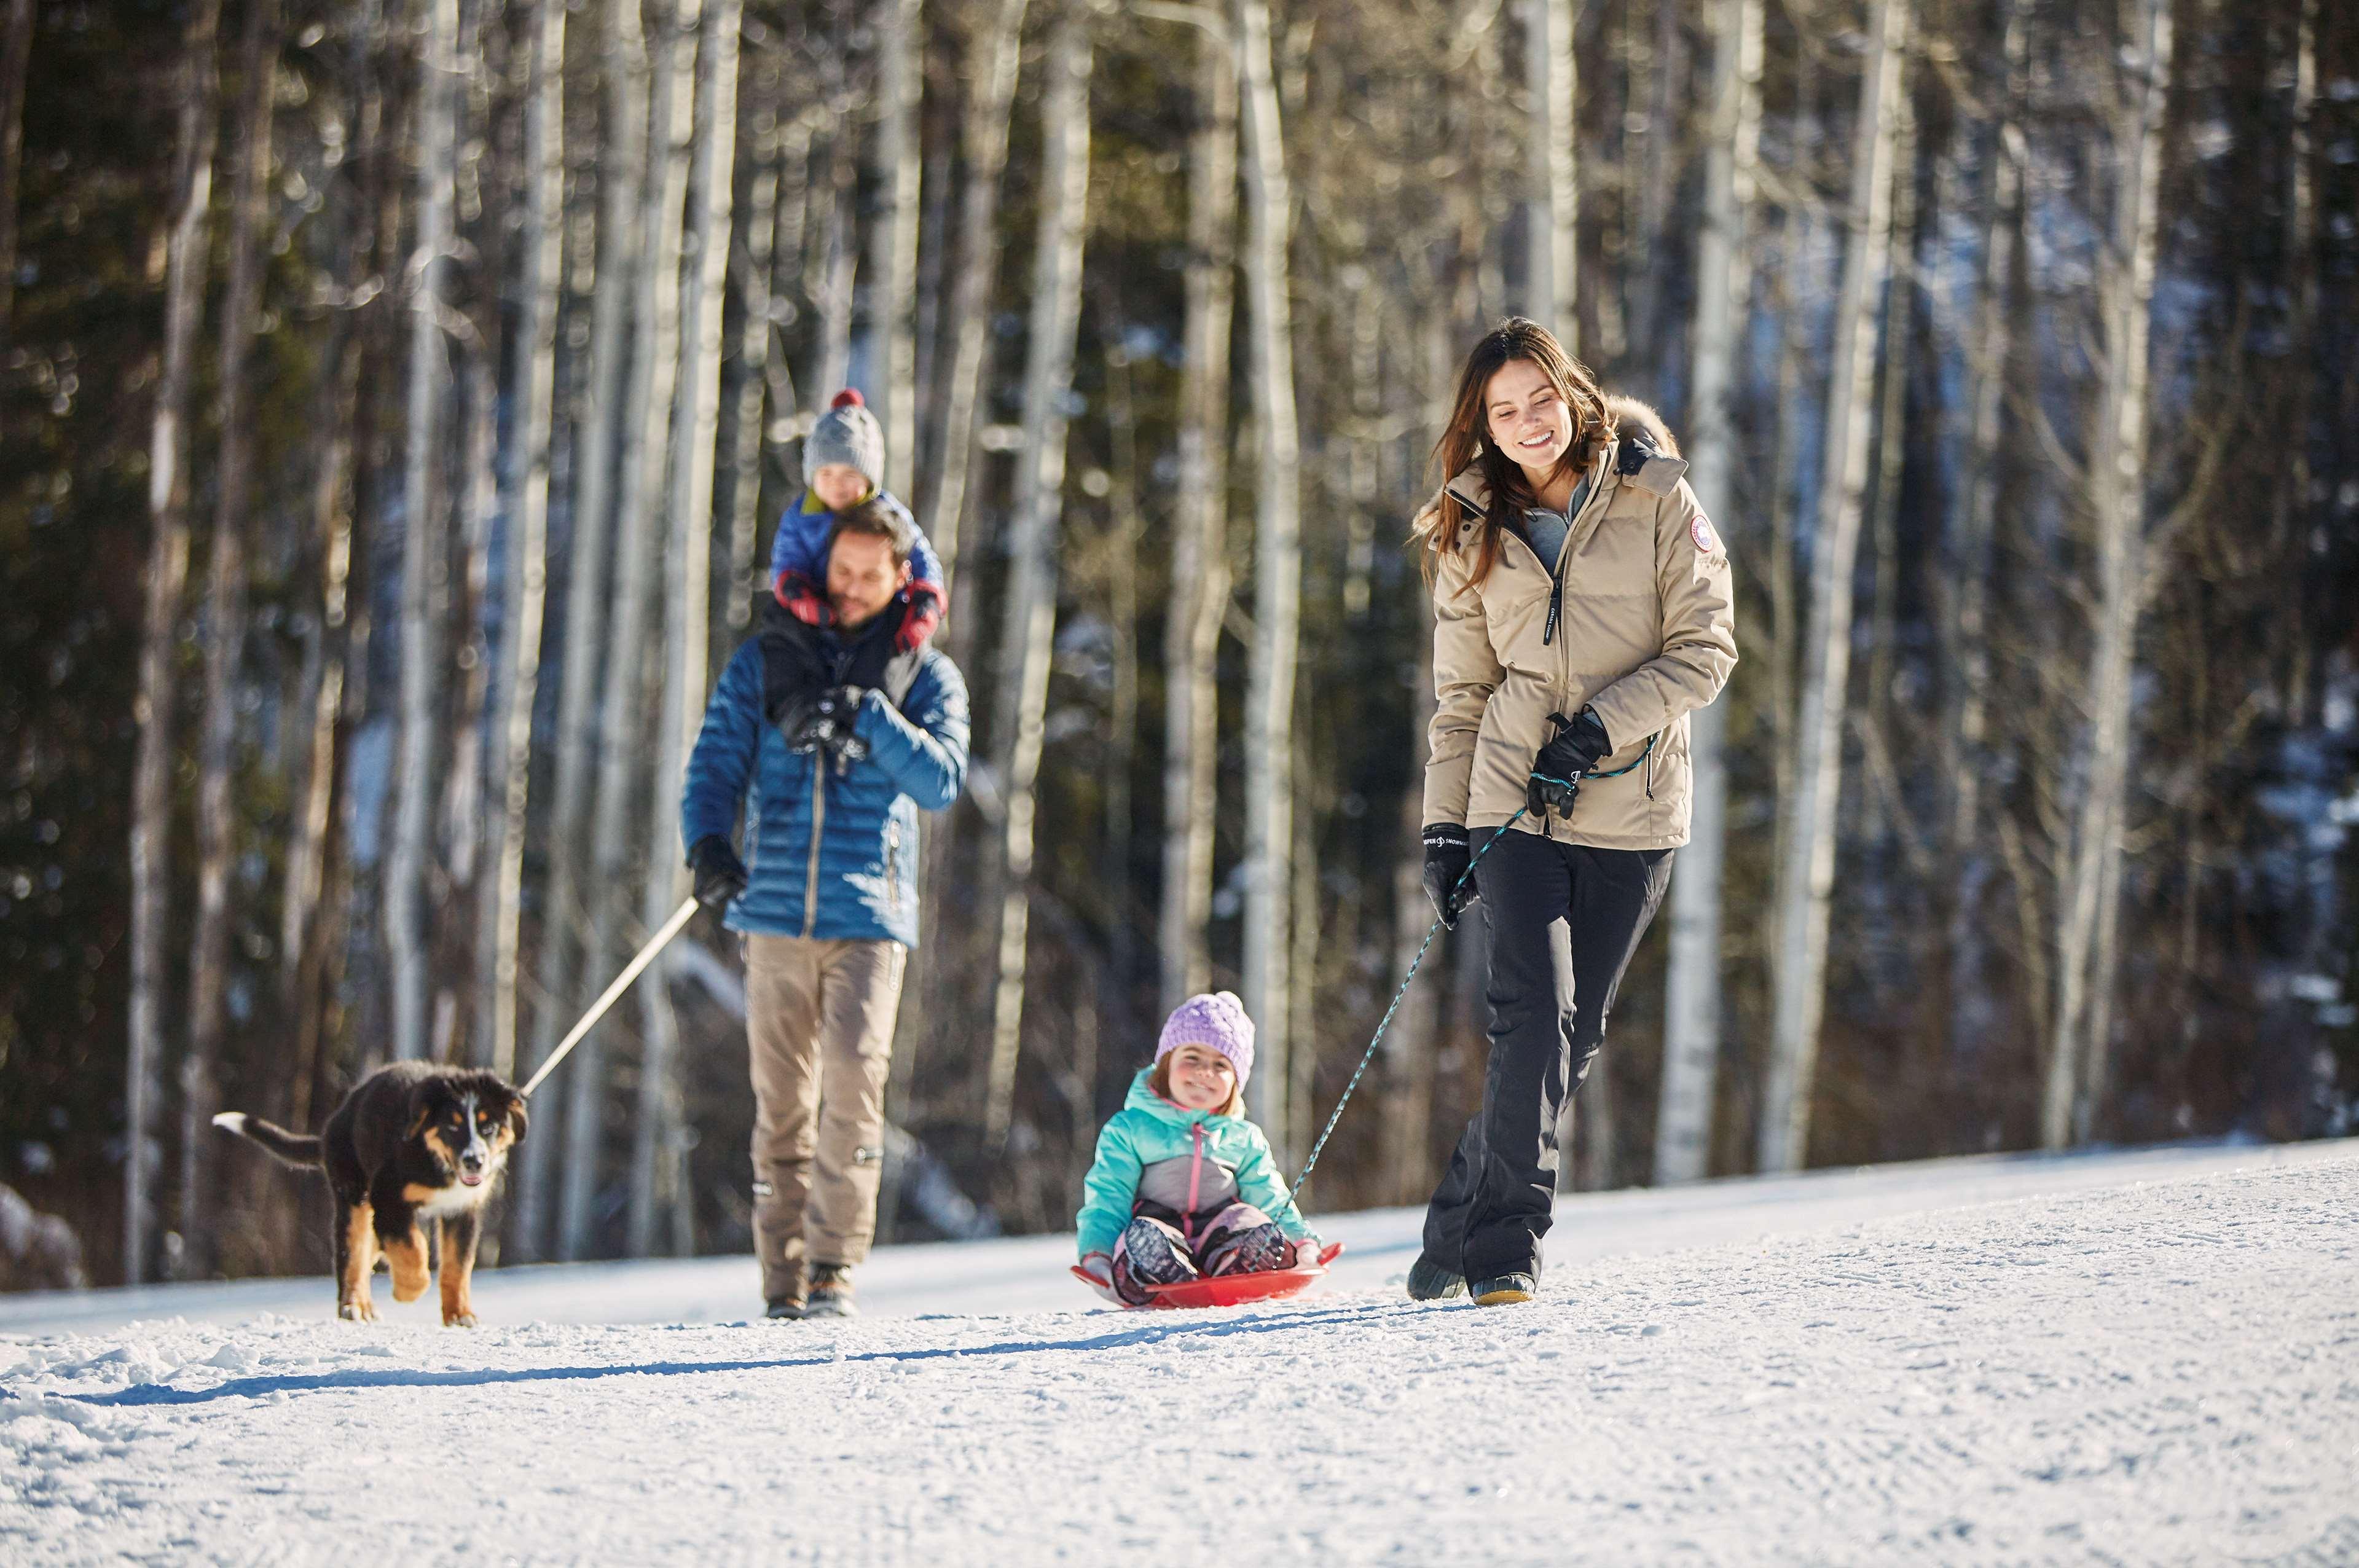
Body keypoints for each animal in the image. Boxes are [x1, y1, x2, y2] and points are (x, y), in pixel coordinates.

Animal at [214, 1065, 528, 1320]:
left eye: (489, 1127)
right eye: (452, 1126)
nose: (474, 1161)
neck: (437, 1162)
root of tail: (331, 1127)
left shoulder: (462, 1210)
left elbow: (458, 1265)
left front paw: (460, 1315)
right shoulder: (387, 1197)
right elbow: (413, 1248)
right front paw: (407, 1291)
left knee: (369, 1248)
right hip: (353, 1195)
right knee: (352, 1254)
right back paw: (355, 1307)